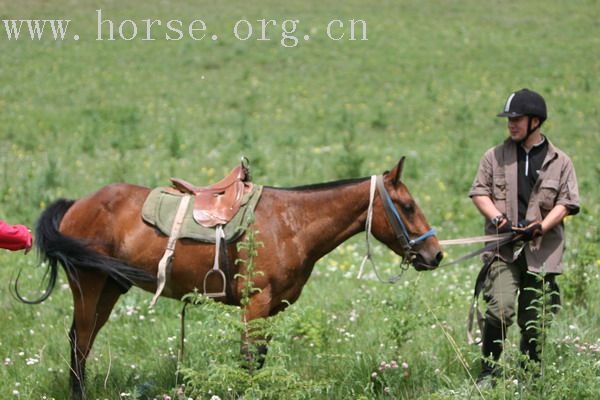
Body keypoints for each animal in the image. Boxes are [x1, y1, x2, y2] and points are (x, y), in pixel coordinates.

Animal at [24, 156, 440, 396]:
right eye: (407, 206)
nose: (435, 254)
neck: (291, 223)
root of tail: (78, 204)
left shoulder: (271, 310)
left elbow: (259, 359)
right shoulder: (254, 305)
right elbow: (247, 359)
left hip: (110, 287)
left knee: (84, 339)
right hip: (88, 283)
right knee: (79, 341)